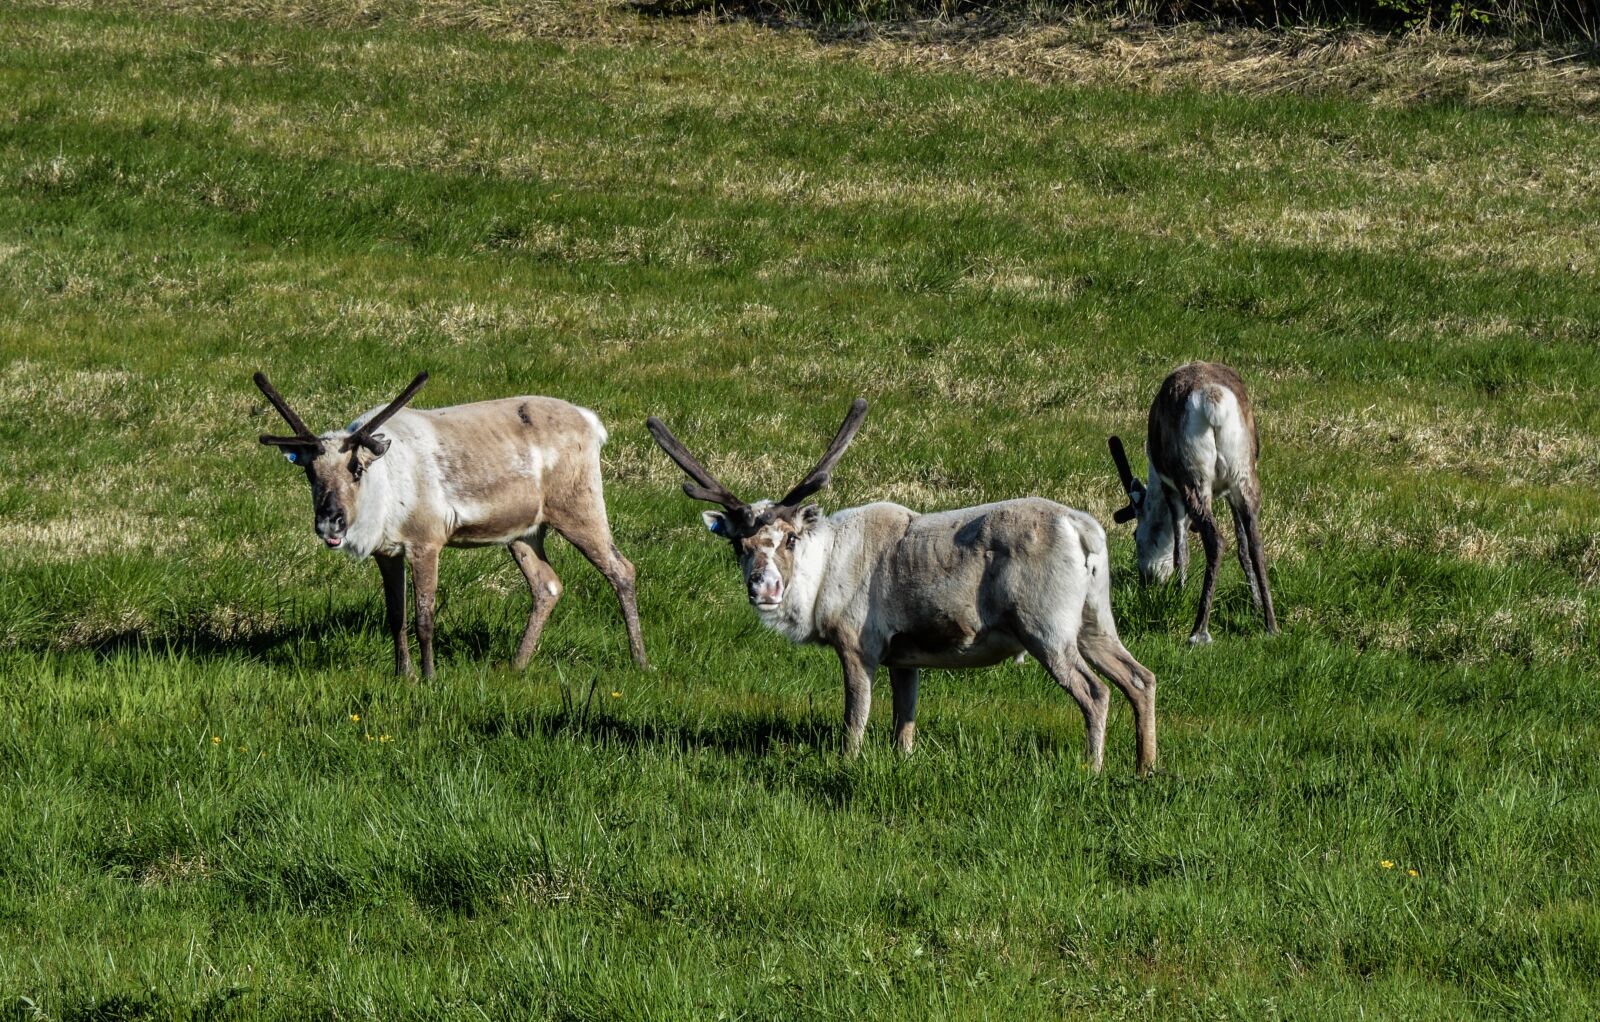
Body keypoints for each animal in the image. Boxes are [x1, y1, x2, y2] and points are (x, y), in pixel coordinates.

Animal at [252, 371, 648, 678]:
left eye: (356, 468)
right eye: (310, 472)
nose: (330, 522)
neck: (385, 490)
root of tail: (593, 423)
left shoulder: (427, 541)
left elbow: (424, 618)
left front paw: (428, 676)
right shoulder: (387, 552)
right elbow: (396, 616)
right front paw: (403, 674)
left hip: (579, 506)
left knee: (621, 569)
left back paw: (640, 660)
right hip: (525, 532)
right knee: (547, 585)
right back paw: (515, 665)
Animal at [646, 399, 1156, 775]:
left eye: (790, 538)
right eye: (739, 544)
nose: (765, 587)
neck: (822, 572)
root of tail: (1083, 528)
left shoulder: (859, 644)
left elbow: (855, 719)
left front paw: (847, 764)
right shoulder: (906, 656)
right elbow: (903, 725)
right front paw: (902, 760)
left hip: (1045, 628)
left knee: (1096, 692)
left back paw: (1093, 768)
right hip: (1094, 620)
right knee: (1140, 677)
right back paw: (1145, 767)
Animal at [1107, 361, 1278, 646]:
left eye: (1135, 534)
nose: (1148, 579)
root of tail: (1213, 398)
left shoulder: (1171, 489)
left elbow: (1181, 551)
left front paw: (1179, 592)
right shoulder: (1230, 493)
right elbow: (1243, 549)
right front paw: (1254, 605)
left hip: (1193, 480)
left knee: (1215, 540)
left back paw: (1199, 631)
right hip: (1244, 477)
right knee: (1256, 543)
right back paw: (1271, 625)